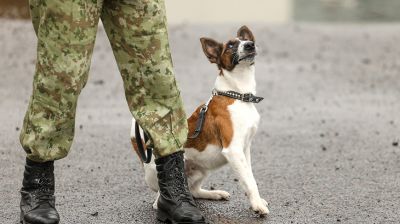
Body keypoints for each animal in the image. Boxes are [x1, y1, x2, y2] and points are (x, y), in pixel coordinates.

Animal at [131, 25, 268, 215]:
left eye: (246, 40)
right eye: (230, 45)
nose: (250, 45)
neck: (237, 95)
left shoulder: (245, 149)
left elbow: (249, 177)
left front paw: (256, 200)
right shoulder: (233, 150)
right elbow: (249, 180)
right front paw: (257, 206)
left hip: (201, 170)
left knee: (194, 191)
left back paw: (214, 194)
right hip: (171, 170)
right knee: (159, 199)